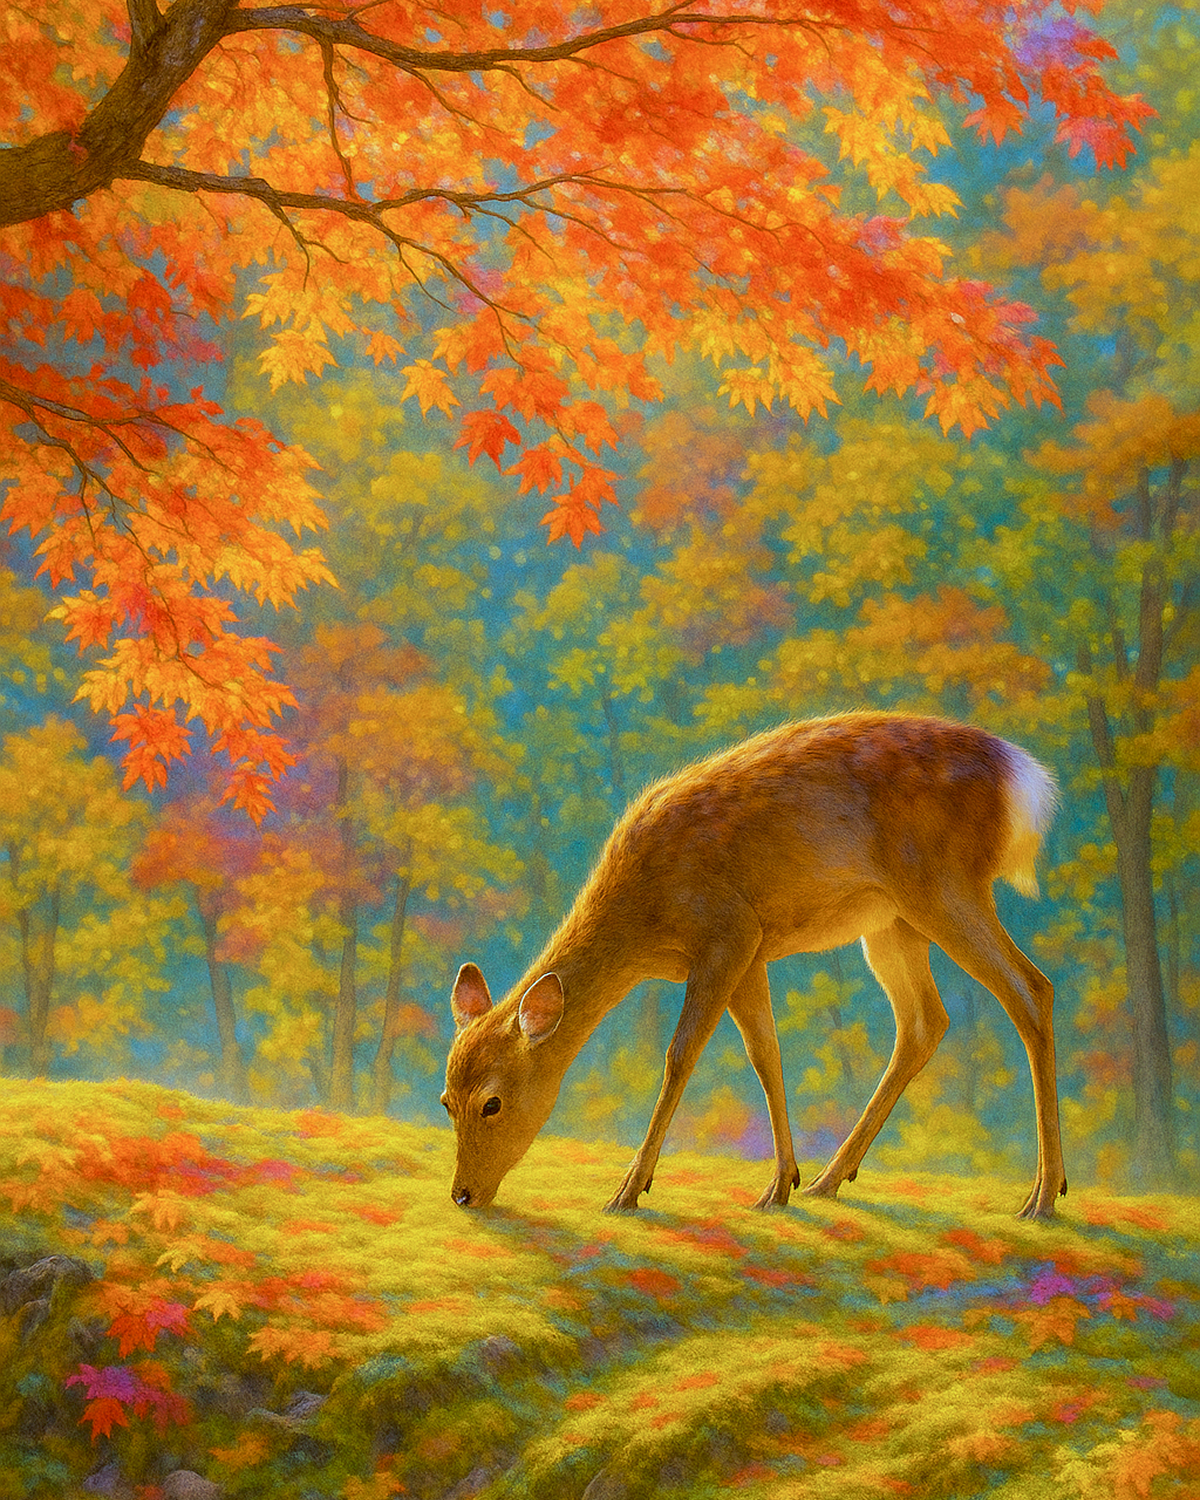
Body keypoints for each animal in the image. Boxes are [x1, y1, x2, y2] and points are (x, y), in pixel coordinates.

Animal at [442, 712, 1066, 1220]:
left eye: (491, 1103)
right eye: (446, 1100)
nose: (462, 1195)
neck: (646, 923)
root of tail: (1026, 782)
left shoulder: (727, 933)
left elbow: (680, 1054)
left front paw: (628, 1190)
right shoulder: (752, 949)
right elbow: (766, 1052)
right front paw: (780, 1184)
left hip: (944, 886)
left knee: (1031, 988)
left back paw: (1043, 1196)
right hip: (891, 922)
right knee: (924, 1022)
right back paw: (829, 1179)